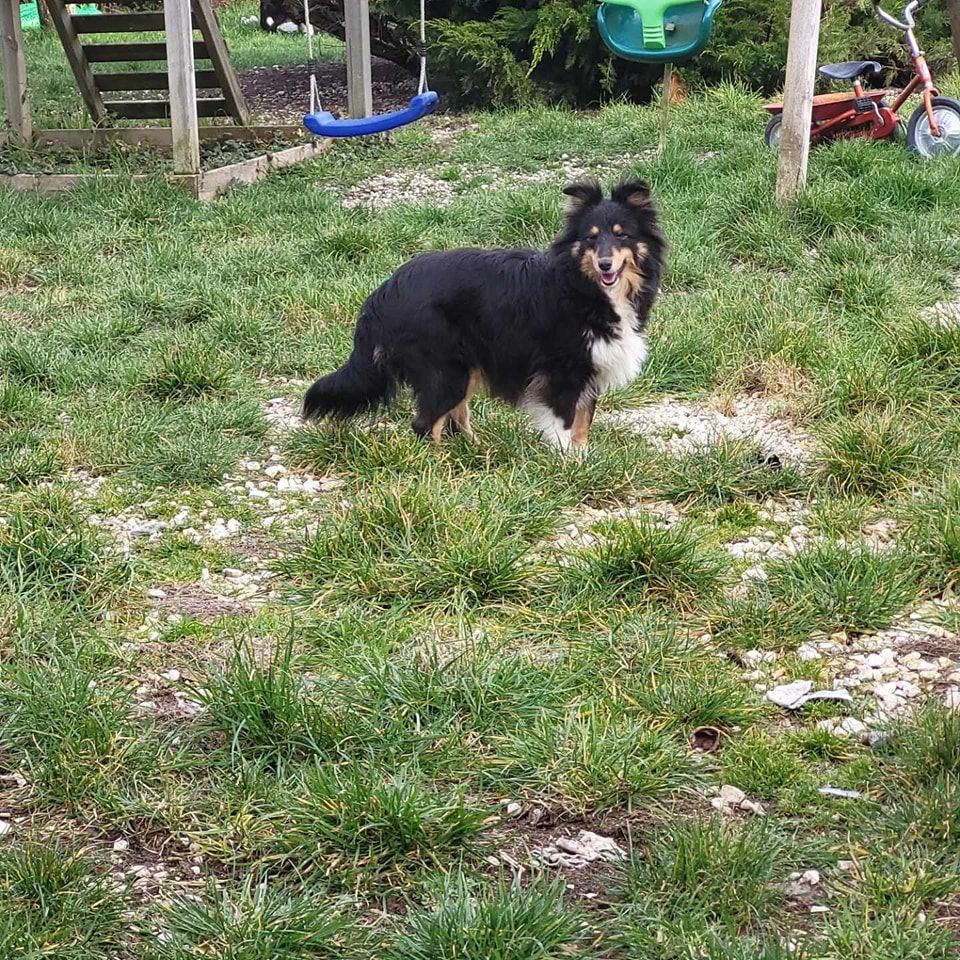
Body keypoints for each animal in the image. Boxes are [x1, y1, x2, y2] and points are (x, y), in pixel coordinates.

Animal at [304, 181, 664, 454]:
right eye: (590, 237)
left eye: (622, 234)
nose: (605, 264)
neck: (582, 286)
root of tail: (383, 293)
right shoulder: (563, 371)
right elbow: (564, 424)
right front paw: (566, 464)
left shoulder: (592, 368)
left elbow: (583, 423)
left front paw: (583, 461)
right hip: (445, 369)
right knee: (425, 424)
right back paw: (440, 468)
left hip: (464, 368)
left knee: (455, 419)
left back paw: (477, 452)